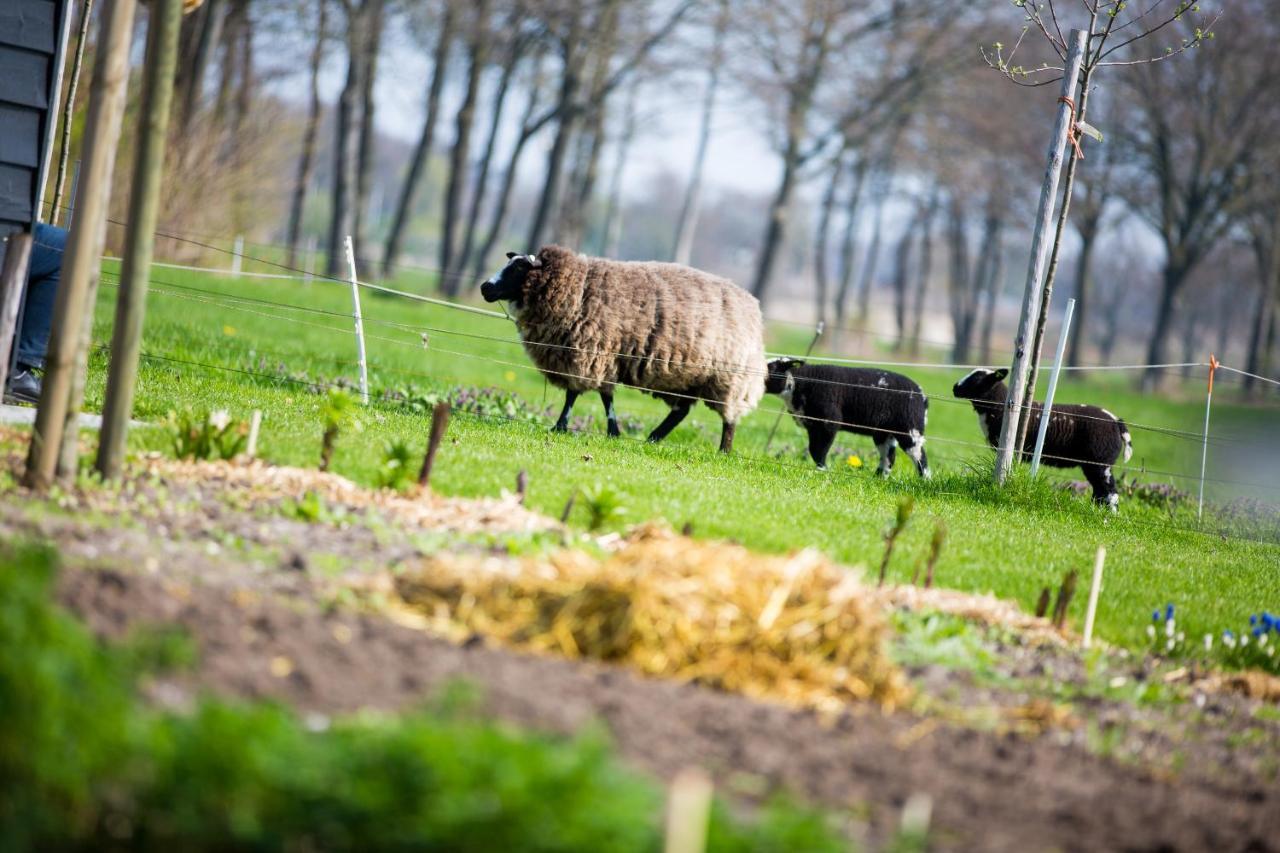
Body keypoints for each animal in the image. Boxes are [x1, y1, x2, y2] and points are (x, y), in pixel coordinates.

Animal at [478, 244, 757, 450]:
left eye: (519, 268)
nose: (485, 287)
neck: (577, 289)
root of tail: (751, 303)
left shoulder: (592, 352)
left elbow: (580, 394)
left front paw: (565, 426)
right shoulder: (594, 355)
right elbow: (601, 395)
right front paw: (611, 431)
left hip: (729, 377)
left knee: (729, 417)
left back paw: (723, 451)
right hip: (686, 379)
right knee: (681, 411)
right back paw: (654, 438)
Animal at [757, 356, 931, 473]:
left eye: (772, 368)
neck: (803, 382)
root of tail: (922, 396)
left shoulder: (829, 423)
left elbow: (819, 450)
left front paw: (823, 470)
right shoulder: (813, 426)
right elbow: (814, 449)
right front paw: (822, 469)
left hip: (910, 429)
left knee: (920, 457)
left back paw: (924, 482)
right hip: (884, 433)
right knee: (888, 457)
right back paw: (878, 478)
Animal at [952, 366, 1131, 504]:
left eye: (977, 380)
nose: (955, 388)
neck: (999, 407)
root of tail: (1116, 421)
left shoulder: (1012, 450)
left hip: (1100, 461)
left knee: (1110, 492)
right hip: (1094, 464)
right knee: (1100, 492)